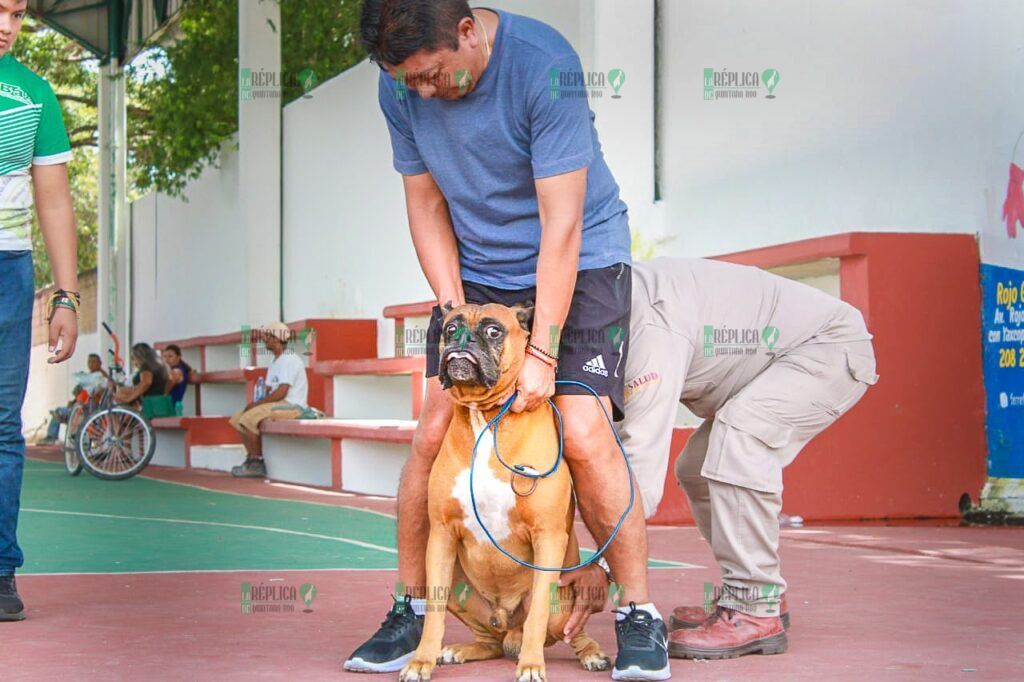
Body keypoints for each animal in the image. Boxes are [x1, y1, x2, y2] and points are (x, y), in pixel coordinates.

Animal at [397, 303, 606, 679]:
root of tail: (508, 629)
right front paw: (421, 660)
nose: (462, 339)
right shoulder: (441, 535)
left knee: (569, 630)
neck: (486, 418)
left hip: (562, 601)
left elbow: (537, 614)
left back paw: (589, 653)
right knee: (489, 639)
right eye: (450, 329)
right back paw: (462, 650)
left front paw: (531, 665)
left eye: (493, 331)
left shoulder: (547, 537)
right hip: (459, 589)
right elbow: (433, 613)